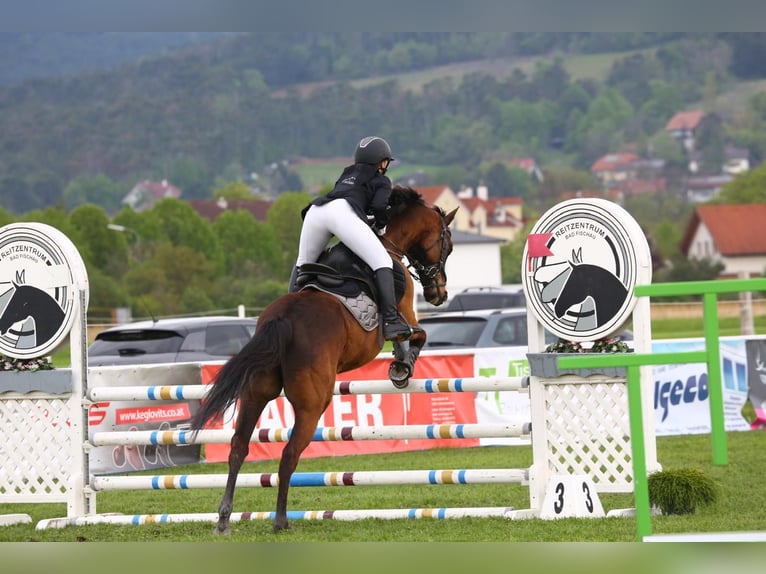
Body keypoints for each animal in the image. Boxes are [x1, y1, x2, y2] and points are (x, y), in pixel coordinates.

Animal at [192, 188, 456, 536]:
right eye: (448, 245)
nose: (440, 294)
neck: (390, 244)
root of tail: (281, 320)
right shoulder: (405, 313)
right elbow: (416, 336)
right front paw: (402, 367)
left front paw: (400, 365)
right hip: (312, 404)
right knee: (289, 455)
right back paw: (280, 521)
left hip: (255, 393)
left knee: (238, 448)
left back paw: (224, 520)